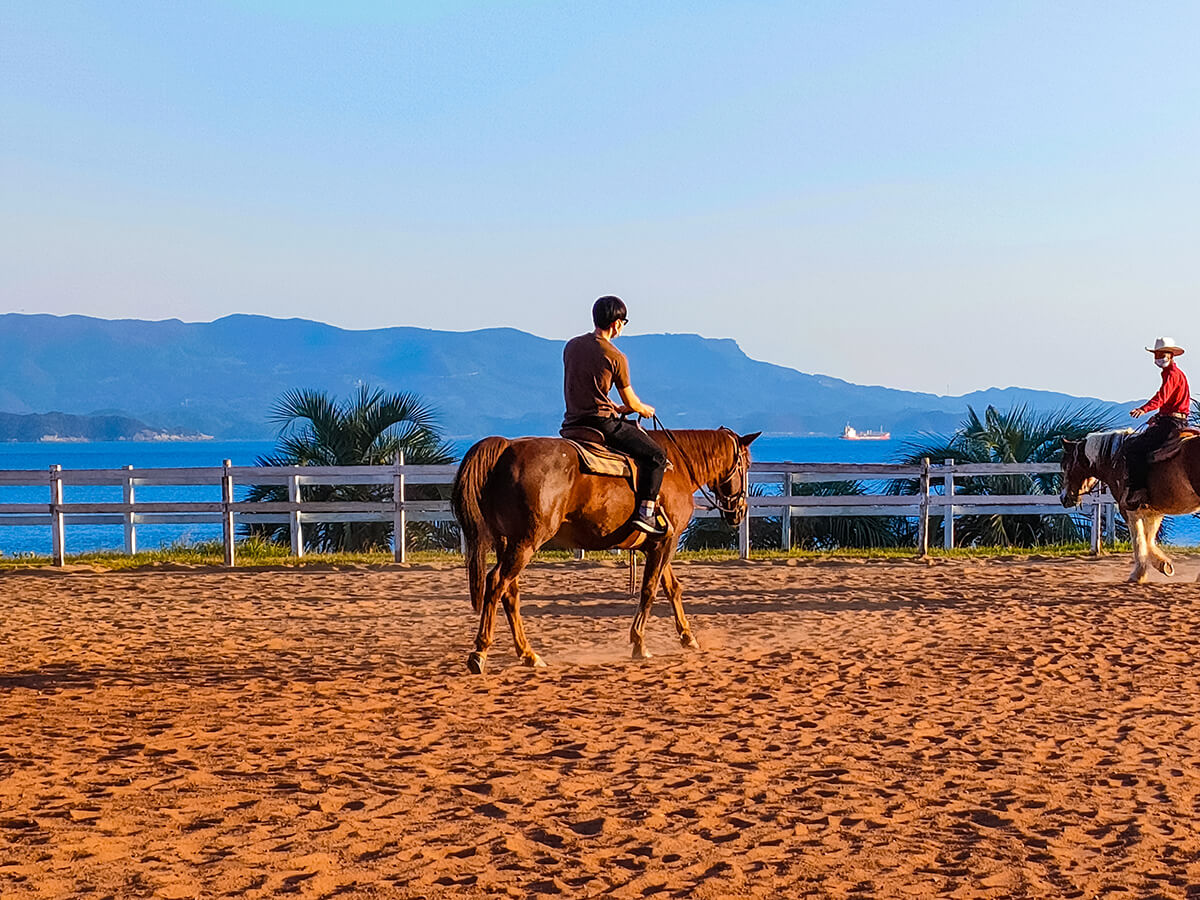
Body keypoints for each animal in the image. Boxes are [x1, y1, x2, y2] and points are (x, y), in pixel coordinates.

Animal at [451, 429, 758, 676]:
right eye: (746, 464)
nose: (739, 511)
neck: (679, 468)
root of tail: (506, 448)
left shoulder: (659, 542)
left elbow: (672, 588)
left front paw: (687, 637)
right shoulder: (665, 544)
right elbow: (650, 590)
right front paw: (639, 644)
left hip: (509, 542)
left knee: (509, 592)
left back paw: (529, 655)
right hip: (525, 543)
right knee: (496, 584)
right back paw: (480, 653)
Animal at [1060, 432, 1200, 585]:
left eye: (1066, 466)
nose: (1063, 498)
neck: (1116, 461)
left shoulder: (1128, 510)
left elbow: (1138, 541)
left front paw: (1137, 574)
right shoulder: (1153, 512)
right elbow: (1148, 540)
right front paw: (1163, 564)